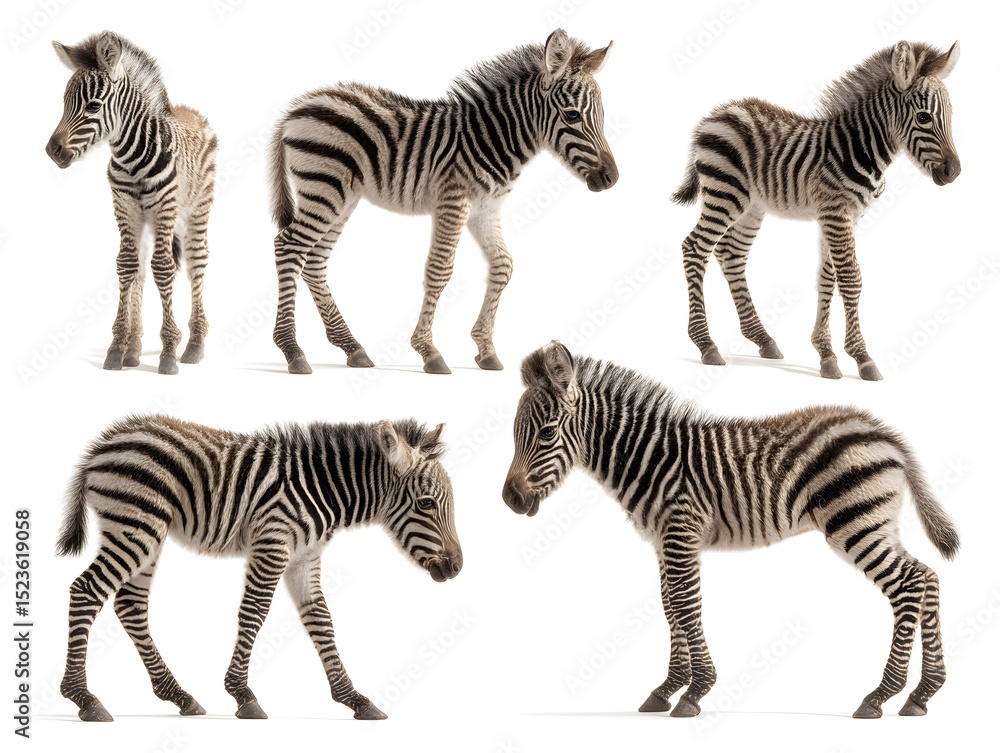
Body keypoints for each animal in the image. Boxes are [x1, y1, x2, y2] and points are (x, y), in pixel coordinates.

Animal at [46, 31, 217, 375]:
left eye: (93, 105)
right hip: (148, 220)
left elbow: (163, 268)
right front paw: (117, 348)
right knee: (141, 266)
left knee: (196, 263)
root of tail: (191, 111)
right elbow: (127, 266)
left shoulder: (165, 207)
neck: (131, 155)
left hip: (198, 208)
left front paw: (169, 351)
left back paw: (194, 346)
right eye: (64, 103)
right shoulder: (124, 206)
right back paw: (134, 349)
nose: (52, 151)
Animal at [56, 415, 462, 722]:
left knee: (130, 605)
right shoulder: (273, 542)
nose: (457, 568)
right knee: (87, 590)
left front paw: (354, 699)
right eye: (426, 503)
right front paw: (242, 694)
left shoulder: (304, 558)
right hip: (137, 525)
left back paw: (179, 695)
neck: (324, 490)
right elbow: (255, 612)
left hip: (147, 533)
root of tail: (103, 444)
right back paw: (84, 698)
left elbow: (322, 622)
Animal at [269, 28, 618, 375]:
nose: (611, 178)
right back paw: (293, 350)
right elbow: (440, 270)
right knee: (288, 246)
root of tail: (299, 106)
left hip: (342, 196)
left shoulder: (485, 210)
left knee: (314, 260)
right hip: (325, 186)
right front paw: (429, 351)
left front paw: (485, 348)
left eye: (602, 116)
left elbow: (503, 266)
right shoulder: (454, 201)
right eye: (572, 115)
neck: (493, 139)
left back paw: (352, 347)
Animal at [503, 341, 959, 718]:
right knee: (927, 576)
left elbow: (685, 605)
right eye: (514, 434)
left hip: (855, 523)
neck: (648, 458)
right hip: (877, 523)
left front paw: (695, 691)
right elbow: (669, 606)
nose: (510, 500)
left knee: (909, 585)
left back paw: (881, 695)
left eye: (546, 433)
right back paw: (922, 694)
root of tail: (885, 435)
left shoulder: (681, 531)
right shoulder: (663, 541)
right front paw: (668, 688)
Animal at [673, 41, 960, 381]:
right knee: (695, 248)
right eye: (924, 117)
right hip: (725, 193)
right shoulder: (836, 212)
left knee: (731, 254)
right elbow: (850, 278)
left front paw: (826, 354)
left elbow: (827, 277)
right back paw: (706, 344)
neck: (860, 148)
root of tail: (717, 114)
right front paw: (862, 357)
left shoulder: (844, 216)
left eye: (951, 115)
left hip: (752, 205)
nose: (954, 172)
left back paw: (762, 338)